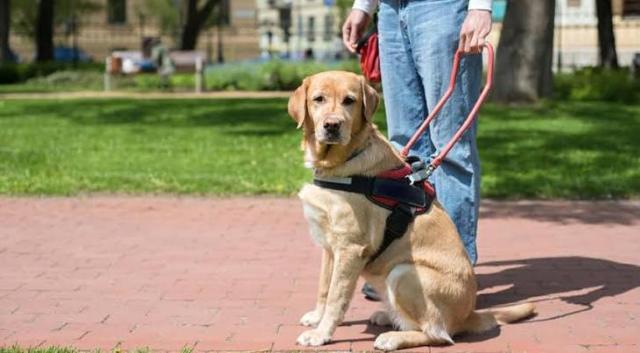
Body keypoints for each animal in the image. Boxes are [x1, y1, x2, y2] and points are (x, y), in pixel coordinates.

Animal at [288, 69, 532, 350]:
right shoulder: (330, 247)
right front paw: (316, 318)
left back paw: (393, 337)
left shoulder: (350, 249)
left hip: (403, 273)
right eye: (318, 99)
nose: (332, 125)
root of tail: (468, 314)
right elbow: (324, 288)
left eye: (349, 101)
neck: (341, 163)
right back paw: (388, 317)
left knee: (439, 335)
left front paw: (321, 333)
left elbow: (336, 299)